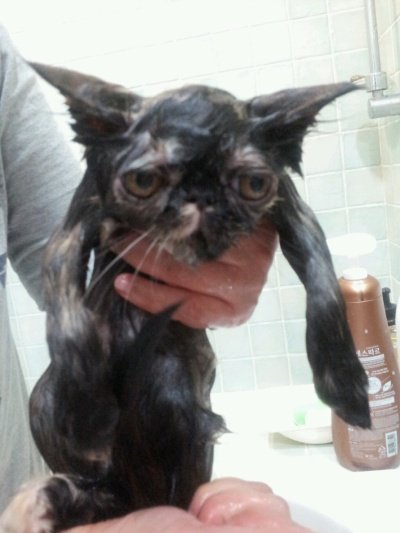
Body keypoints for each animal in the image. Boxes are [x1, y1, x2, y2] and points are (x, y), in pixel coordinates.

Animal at [0, 63, 370, 532]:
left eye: (253, 183)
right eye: (143, 181)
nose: (202, 198)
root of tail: (138, 498)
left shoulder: (295, 214)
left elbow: (324, 287)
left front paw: (346, 386)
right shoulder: (68, 235)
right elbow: (67, 316)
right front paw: (85, 415)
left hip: (182, 409)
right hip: (45, 401)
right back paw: (47, 499)